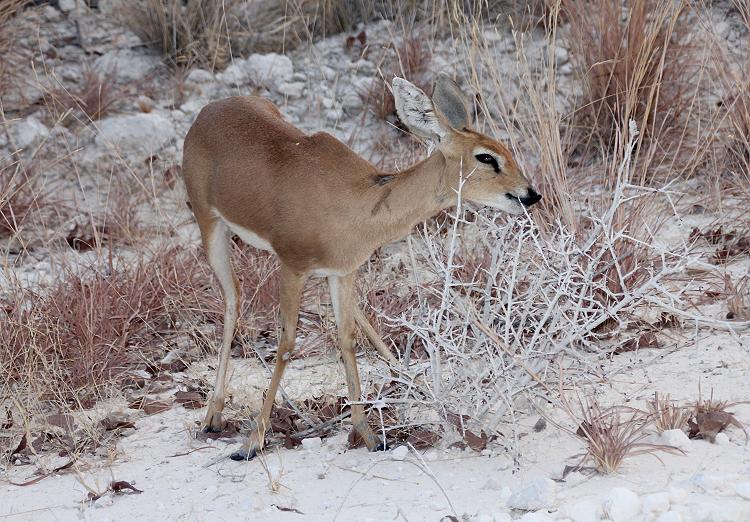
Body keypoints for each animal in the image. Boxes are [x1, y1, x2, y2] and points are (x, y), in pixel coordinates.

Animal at [185, 74, 544, 460]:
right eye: (486, 156)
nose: (530, 194)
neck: (358, 203)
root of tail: (209, 111)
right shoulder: (292, 267)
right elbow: (286, 346)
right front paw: (252, 442)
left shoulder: (343, 272)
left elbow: (346, 339)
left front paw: (369, 434)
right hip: (211, 227)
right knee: (233, 302)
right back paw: (213, 416)